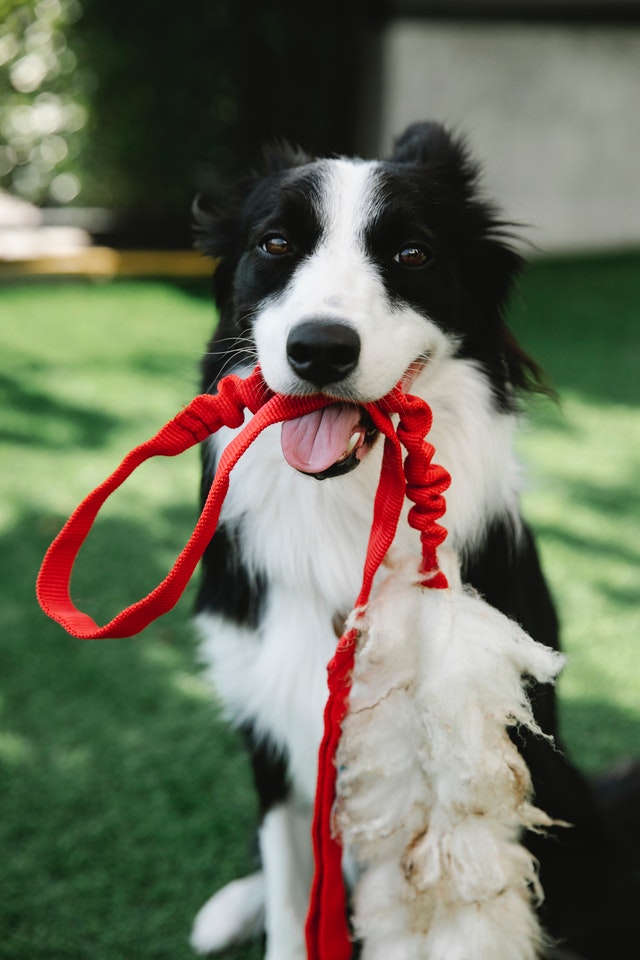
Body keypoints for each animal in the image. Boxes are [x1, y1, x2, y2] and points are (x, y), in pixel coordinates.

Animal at [188, 122, 636, 960]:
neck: (346, 512)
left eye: (413, 254)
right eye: (274, 243)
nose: (319, 349)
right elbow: (290, 882)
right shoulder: (273, 726)